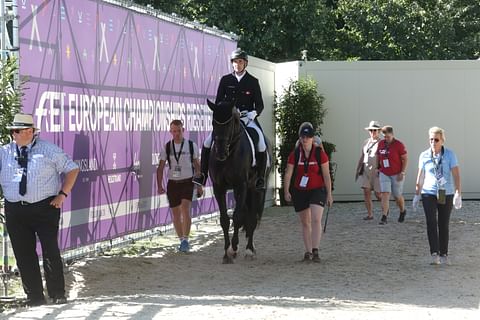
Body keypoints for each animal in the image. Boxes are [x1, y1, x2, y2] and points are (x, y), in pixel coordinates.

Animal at [208, 99, 272, 262]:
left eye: (230, 124)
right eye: (213, 123)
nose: (221, 153)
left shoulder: (241, 185)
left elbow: (237, 217)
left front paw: (234, 248)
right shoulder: (219, 187)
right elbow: (225, 219)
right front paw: (227, 252)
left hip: (256, 189)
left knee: (252, 217)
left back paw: (249, 249)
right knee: (246, 213)